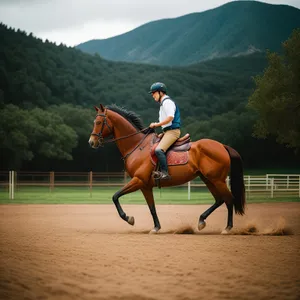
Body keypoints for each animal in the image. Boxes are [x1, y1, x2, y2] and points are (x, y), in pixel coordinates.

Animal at [88, 104, 245, 233]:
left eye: (99, 122)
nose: (91, 142)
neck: (137, 146)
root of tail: (222, 146)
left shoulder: (138, 180)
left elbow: (115, 196)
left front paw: (128, 218)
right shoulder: (144, 186)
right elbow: (152, 207)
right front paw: (156, 227)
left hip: (217, 180)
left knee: (229, 199)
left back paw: (227, 228)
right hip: (208, 179)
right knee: (220, 200)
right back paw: (201, 221)